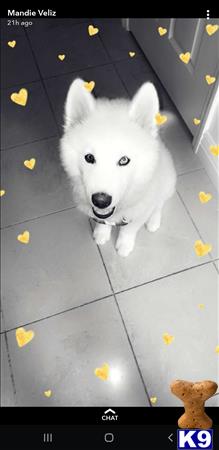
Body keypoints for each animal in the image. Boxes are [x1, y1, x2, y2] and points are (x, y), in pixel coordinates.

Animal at [60, 78, 176, 256]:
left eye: (124, 160)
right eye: (89, 157)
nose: (101, 201)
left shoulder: (141, 209)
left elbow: (130, 229)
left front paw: (124, 245)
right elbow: (102, 221)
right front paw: (101, 233)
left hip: (167, 181)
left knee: (159, 203)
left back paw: (154, 221)